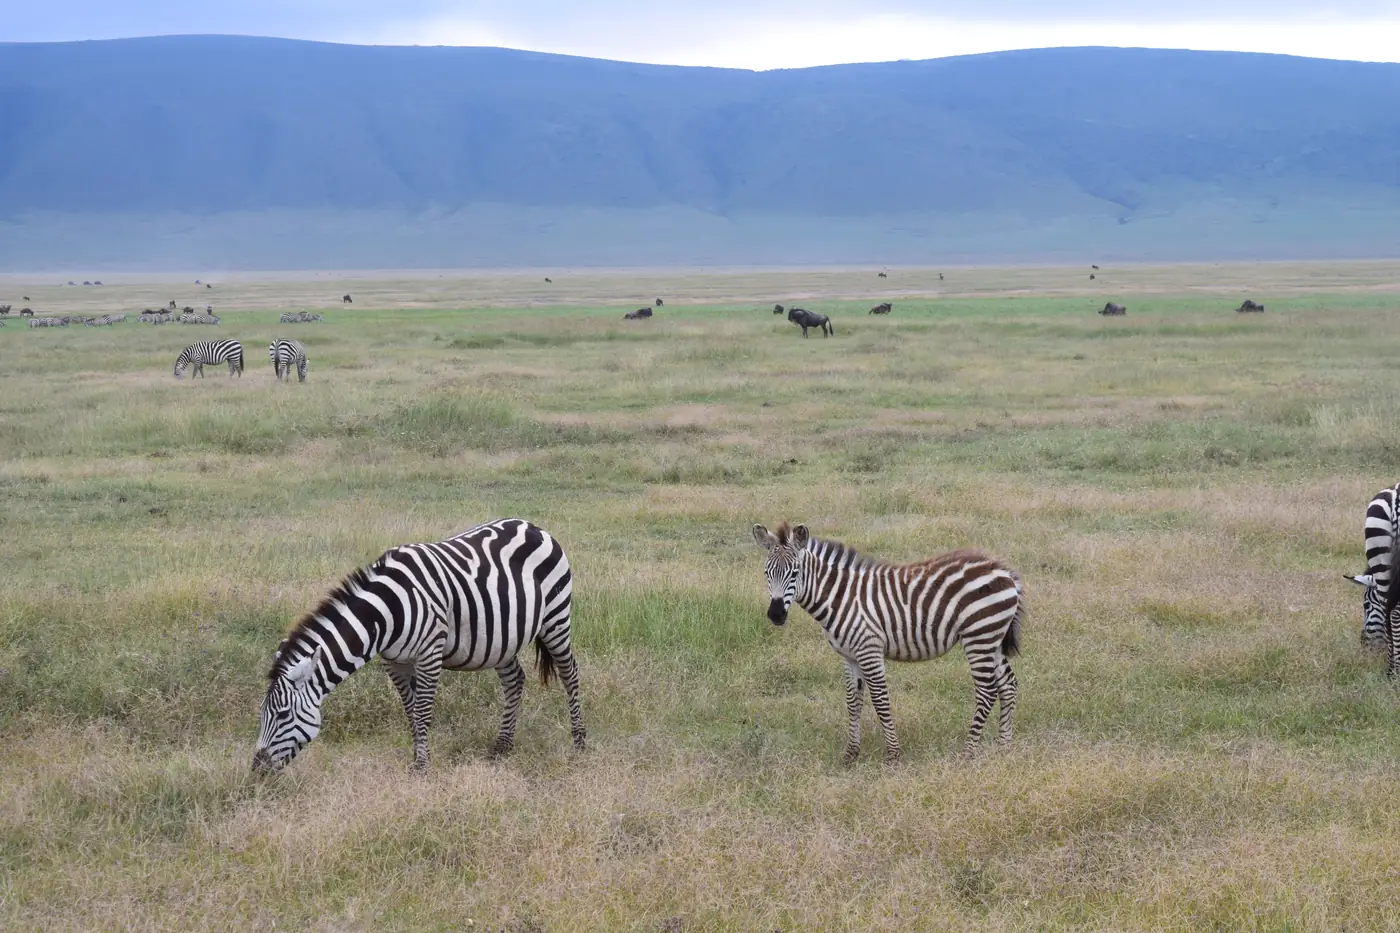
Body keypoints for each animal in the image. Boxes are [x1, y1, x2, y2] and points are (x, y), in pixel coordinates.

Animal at [252, 518, 586, 774]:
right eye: (262, 715)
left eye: (282, 715)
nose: (257, 769)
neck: (385, 614)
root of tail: (534, 526)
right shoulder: (394, 661)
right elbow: (411, 711)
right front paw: (418, 757)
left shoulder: (429, 653)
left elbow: (423, 710)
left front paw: (422, 767)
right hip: (504, 638)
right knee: (514, 680)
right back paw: (502, 746)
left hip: (556, 617)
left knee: (570, 674)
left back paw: (579, 743)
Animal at [753, 521, 1024, 761]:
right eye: (766, 573)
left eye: (795, 573)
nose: (775, 615)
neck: (840, 599)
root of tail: (1004, 570)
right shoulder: (849, 656)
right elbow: (853, 702)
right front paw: (851, 754)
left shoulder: (869, 650)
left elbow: (880, 700)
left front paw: (893, 754)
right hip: (992, 638)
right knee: (1008, 684)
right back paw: (1004, 746)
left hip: (978, 637)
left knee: (987, 691)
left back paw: (968, 752)